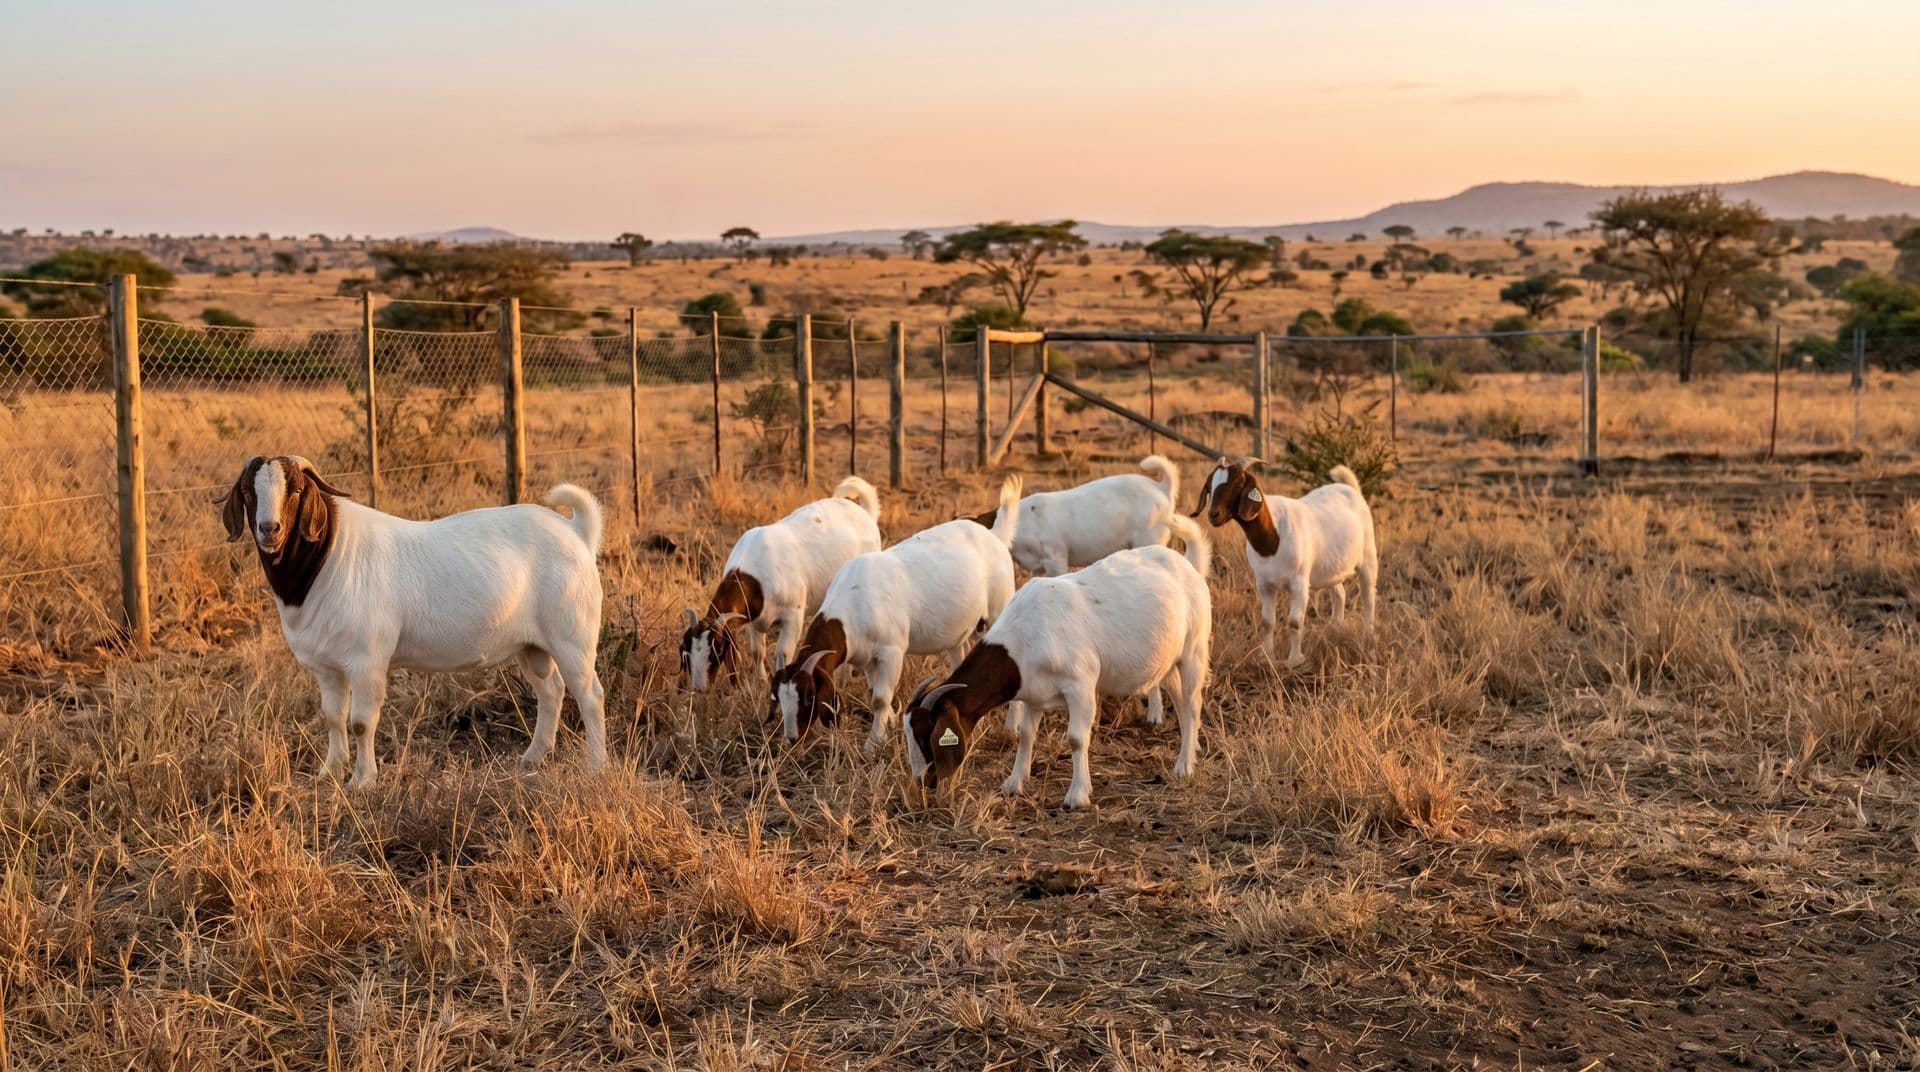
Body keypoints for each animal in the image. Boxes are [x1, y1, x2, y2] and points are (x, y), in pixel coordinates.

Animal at [217, 455, 606, 789]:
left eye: (296, 490)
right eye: (249, 492)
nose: (269, 528)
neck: (328, 555)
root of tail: (576, 532)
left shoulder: (367, 660)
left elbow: (361, 722)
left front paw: (361, 781)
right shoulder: (326, 667)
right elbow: (332, 717)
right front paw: (329, 773)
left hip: (573, 636)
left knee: (589, 695)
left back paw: (596, 767)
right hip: (531, 646)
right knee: (550, 690)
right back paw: (532, 758)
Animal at [680, 476, 881, 692]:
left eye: (717, 649)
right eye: (688, 651)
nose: (699, 688)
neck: (756, 578)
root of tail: (864, 513)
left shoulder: (793, 616)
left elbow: (783, 654)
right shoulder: (753, 618)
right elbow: (756, 652)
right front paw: (761, 681)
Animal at [772, 476, 1021, 752]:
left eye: (808, 696)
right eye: (779, 698)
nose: (792, 739)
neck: (854, 604)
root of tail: (994, 536)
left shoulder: (892, 652)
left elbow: (880, 699)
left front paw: (873, 744)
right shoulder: (867, 658)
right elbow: (874, 693)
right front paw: (889, 723)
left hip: (999, 611)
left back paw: (1011, 729)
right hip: (959, 630)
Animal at [903, 521, 1212, 810]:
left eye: (926, 736)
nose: (923, 782)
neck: (1024, 635)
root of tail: (1188, 566)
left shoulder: (1081, 686)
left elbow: (1076, 738)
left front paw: (1077, 796)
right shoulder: (1033, 694)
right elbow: (1026, 735)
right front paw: (1014, 783)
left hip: (1193, 651)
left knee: (1192, 705)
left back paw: (1184, 767)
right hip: (1166, 662)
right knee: (1180, 701)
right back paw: (1189, 753)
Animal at [1190, 459, 1377, 666]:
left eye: (1237, 484)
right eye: (1209, 486)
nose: (1213, 514)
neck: (1273, 536)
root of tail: (1351, 488)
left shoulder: (1299, 584)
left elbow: (1294, 622)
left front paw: (1295, 660)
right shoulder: (1264, 585)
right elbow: (1267, 622)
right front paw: (1266, 656)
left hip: (1368, 557)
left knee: (1368, 596)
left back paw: (1368, 635)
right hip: (1330, 568)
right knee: (1339, 593)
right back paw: (1337, 629)